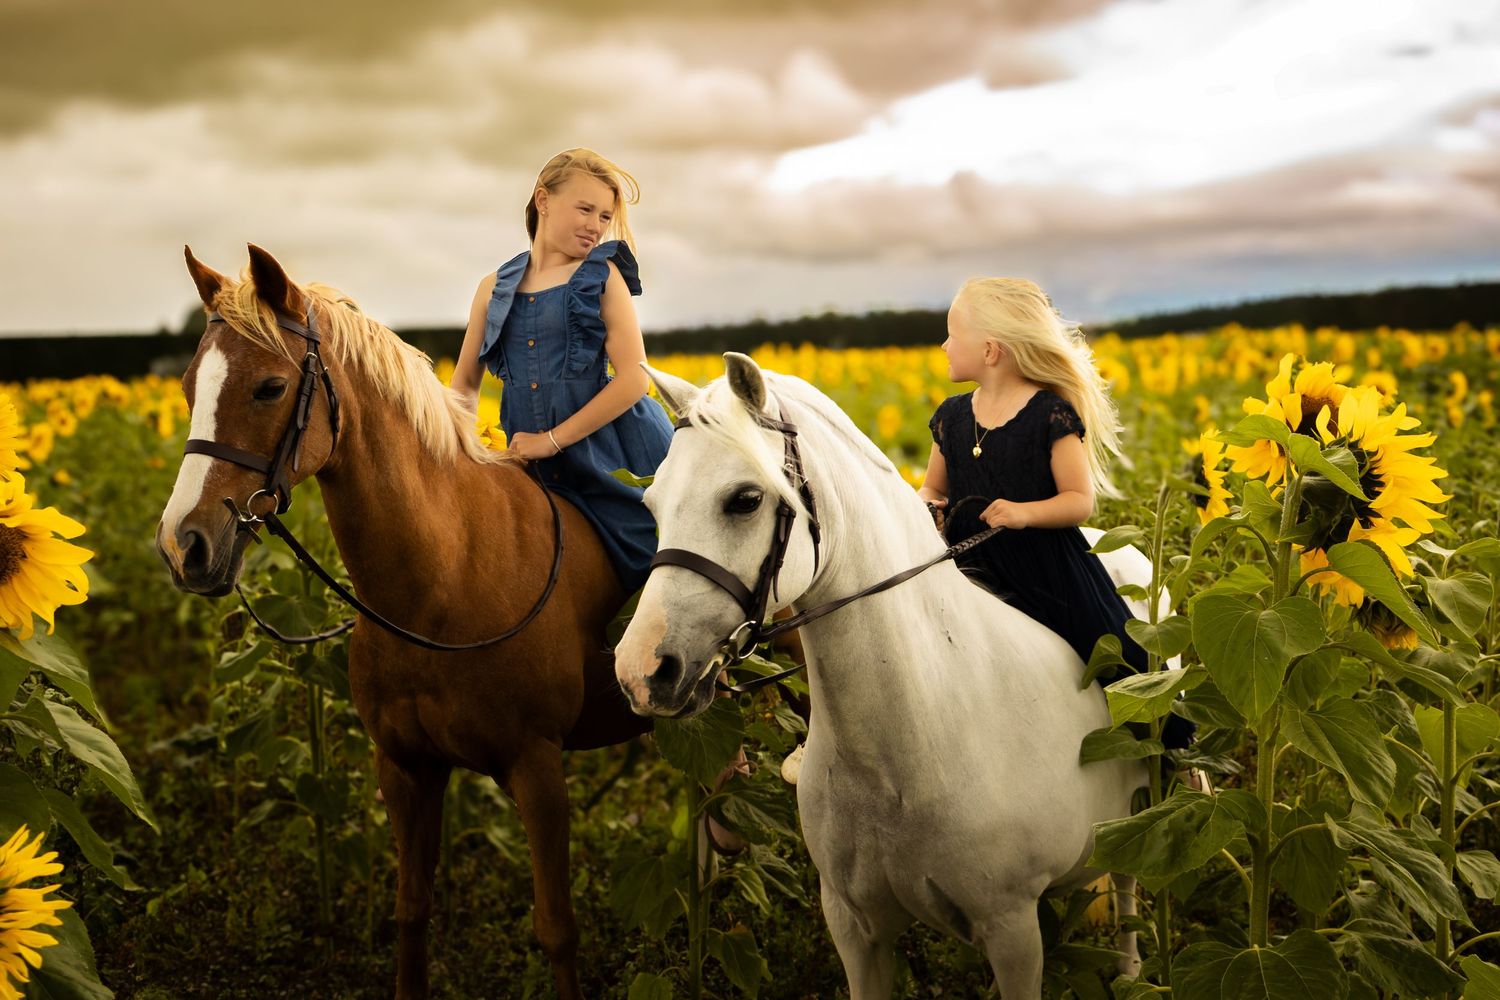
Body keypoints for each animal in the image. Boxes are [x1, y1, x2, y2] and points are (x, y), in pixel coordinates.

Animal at [155, 244, 649, 1000]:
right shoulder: (406, 768)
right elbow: (411, 910)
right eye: (188, 387)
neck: (441, 584)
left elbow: (557, 930)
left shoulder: (538, 768)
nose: (184, 547)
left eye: (269, 387)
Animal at [614, 353, 1158, 999]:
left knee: (1128, 883)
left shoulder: (1012, 931)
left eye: (744, 499)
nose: (640, 671)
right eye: (652, 505)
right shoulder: (856, 928)